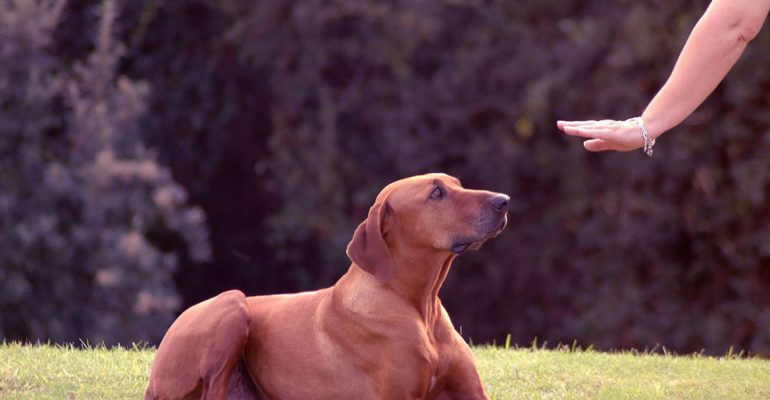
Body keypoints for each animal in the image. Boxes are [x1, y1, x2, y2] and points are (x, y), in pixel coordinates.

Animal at [145, 173, 508, 398]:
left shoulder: (472, 391)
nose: (503, 200)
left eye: (458, 184)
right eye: (437, 193)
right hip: (231, 305)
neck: (419, 307)